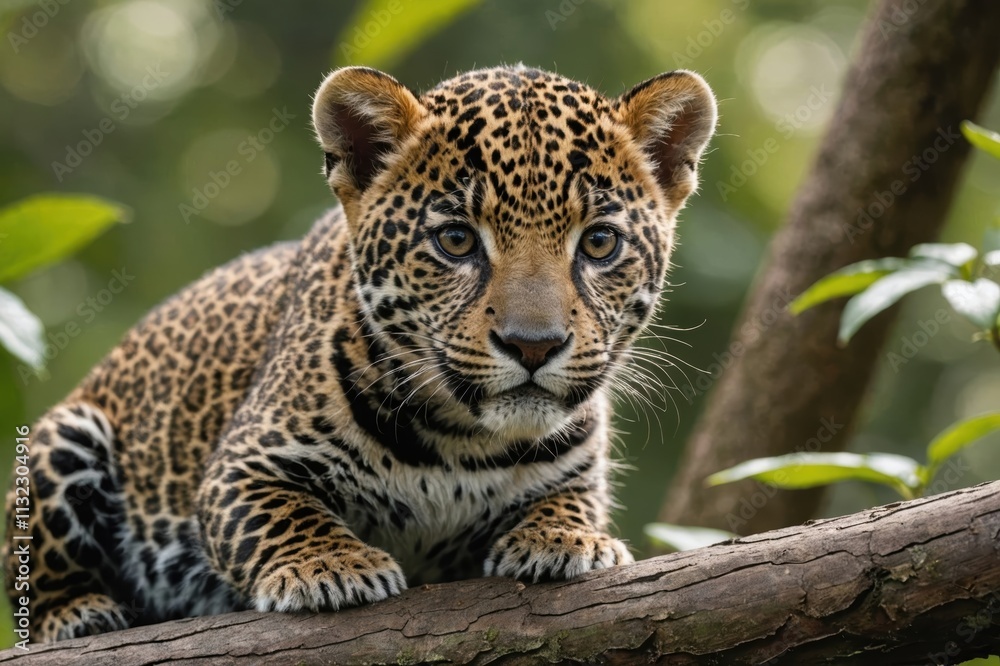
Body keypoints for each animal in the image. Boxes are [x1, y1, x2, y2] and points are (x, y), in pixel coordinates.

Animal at [4, 64, 716, 642]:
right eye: (456, 240)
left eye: (599, 243)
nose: (532, 345)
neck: (461, 441)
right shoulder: (241, 464)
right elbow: (282, 512)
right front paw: (331, 565)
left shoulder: (577, 471)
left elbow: (567, 501)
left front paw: (568, 539)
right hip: (66, 435)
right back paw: (82, 614)